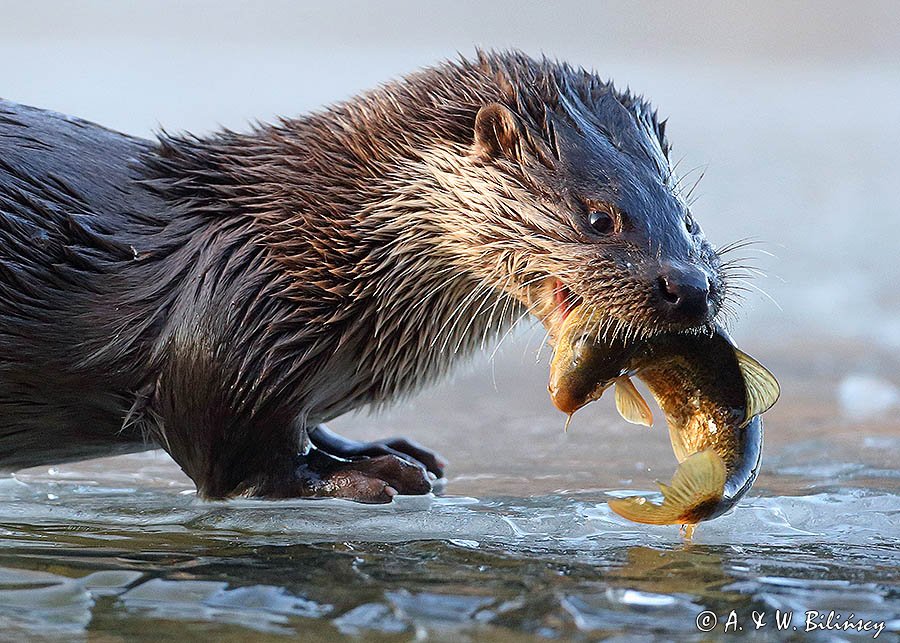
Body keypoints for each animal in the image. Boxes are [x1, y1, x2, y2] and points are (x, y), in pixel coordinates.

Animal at [0, 50, 728, 504]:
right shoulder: (225, 328)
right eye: (600, 216)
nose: (690, 287)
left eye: (688, 216)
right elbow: (233, 463)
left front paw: (371, 448)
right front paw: (359, 477)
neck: (309, 242)